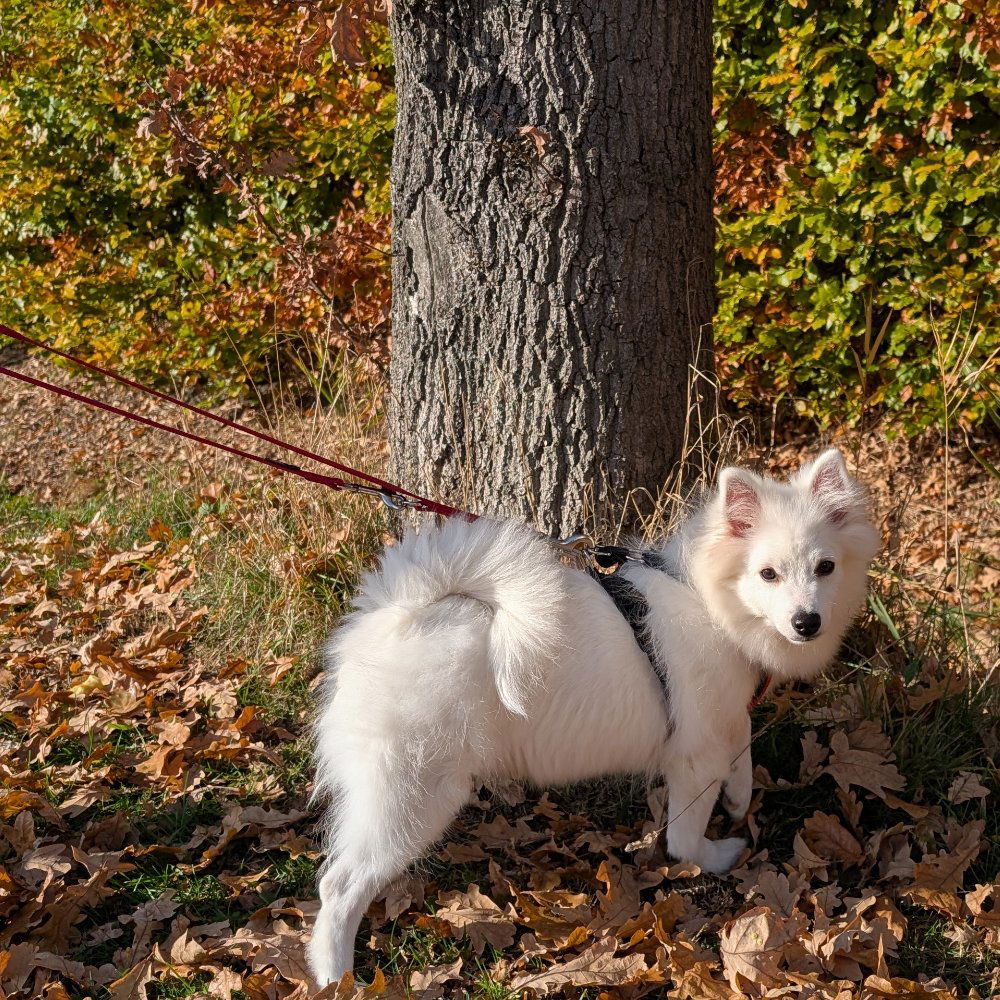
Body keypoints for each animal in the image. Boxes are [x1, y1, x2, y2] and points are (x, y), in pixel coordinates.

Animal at [307, 448, 879, 985]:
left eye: (825, 567)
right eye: (768, 574)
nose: (807, 622)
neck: (713, 605)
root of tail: (398, 615)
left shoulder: (723, 719)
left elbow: (742, 747)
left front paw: (739, 799)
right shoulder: (693, 758)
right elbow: (684, 838)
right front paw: (716, 855)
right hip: (414, 793)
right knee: (338, 885)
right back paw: (336, 975)